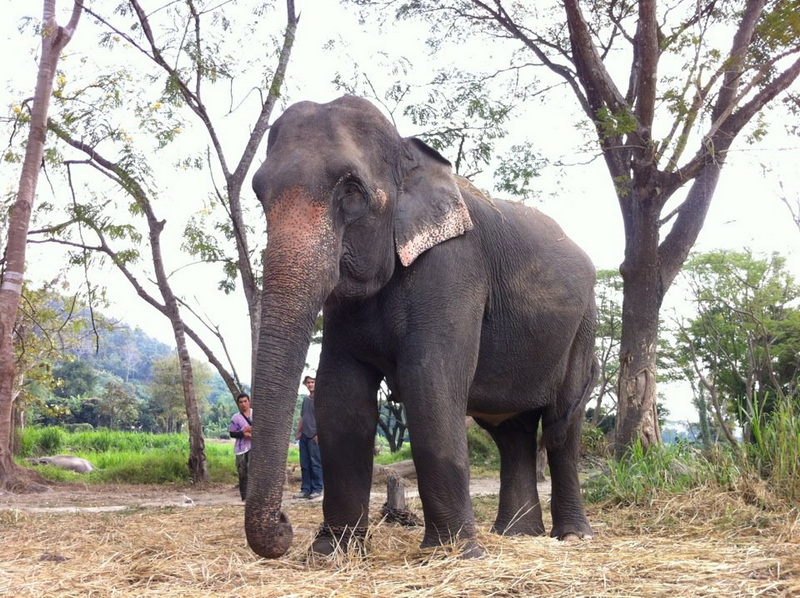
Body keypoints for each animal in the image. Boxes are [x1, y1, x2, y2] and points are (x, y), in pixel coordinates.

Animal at [246, 95, 599, 559]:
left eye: (352, 191)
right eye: (259, 193)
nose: (285, 524)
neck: (408, 154)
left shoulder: (454, 267)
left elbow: (429, 379)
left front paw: (455, 554)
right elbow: (341, 394)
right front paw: (331, 552)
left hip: (584, 325)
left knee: (561, 425)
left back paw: (572, 536)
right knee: (512, 433)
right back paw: (515, 535)